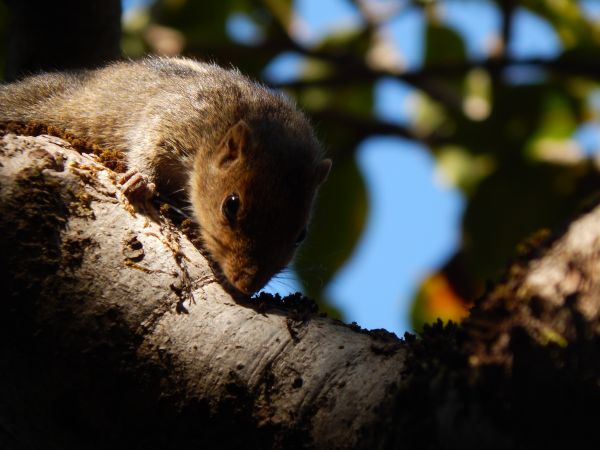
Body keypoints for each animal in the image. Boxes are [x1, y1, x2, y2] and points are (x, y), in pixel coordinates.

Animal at [0, 56, 330, 296]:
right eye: (231, 205)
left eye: (301, 235)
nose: (247, 287)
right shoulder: (170, 120)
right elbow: (146, 144)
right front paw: (140, 181)